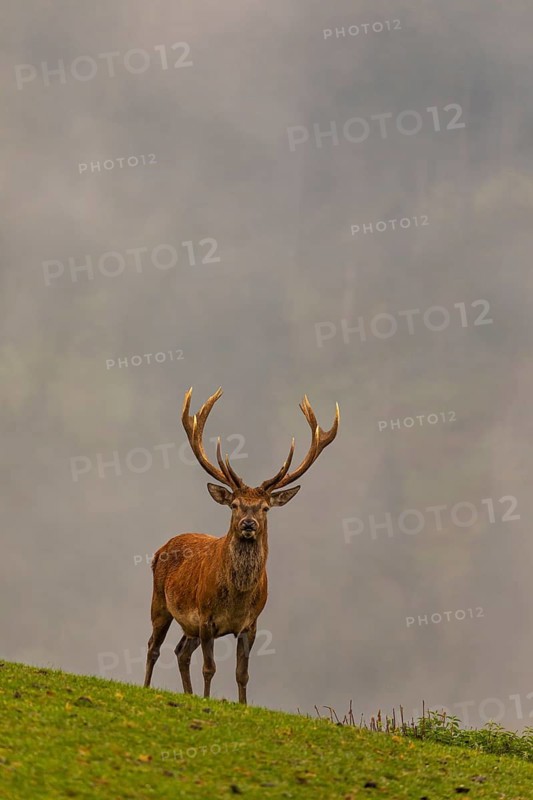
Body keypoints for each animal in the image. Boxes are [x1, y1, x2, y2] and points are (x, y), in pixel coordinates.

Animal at [143, 387, 339, 704]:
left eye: (265, 508)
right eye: (234, 505)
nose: (248, 524)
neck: (236, 598)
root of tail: (161, 548)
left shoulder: (251, 625)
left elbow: (242, 674)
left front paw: (242, 704)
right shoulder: (206, 617)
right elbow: (209, 668)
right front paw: (207, 699)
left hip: (189, 625)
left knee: (181, 651)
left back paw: (188, 694)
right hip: (160, 601)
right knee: (153, 646)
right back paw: (148, 686)